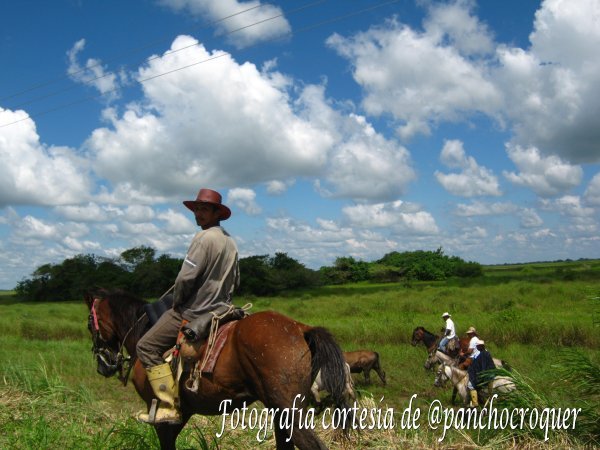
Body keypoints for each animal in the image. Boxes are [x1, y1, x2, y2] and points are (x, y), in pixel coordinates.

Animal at [82, 288, 350, 450]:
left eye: (89, 324)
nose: (102, 365)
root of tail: (300, 329)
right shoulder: (181, 414)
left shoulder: (161, 415)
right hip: (279, 413)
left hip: (289, 411)